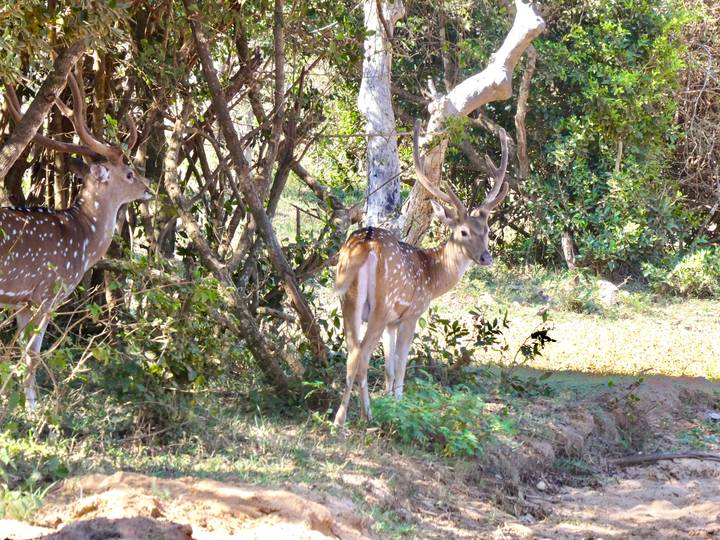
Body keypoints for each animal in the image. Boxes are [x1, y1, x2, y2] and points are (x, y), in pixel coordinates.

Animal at [1, 69, 152, 410]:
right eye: (129, 174)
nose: (149, 188)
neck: (82, 238)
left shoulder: (22, 300)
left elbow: (23, 354)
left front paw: (20, 402)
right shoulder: (47, 293)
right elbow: (33, 354)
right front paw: (33, 408)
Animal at [333, 120, 509, 426]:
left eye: (486, 230)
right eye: (463, 232)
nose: (486, 257)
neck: (432, 276)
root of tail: (365, 246)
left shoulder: (392, 322)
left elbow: (389, 368)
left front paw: (388, 401)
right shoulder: (411, 313)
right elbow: (401, 365)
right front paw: (399, 404)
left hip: (349, 300)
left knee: (352, 353)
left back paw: (361, 413)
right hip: (380, 305)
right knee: (360, 355)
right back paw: (347, 418)